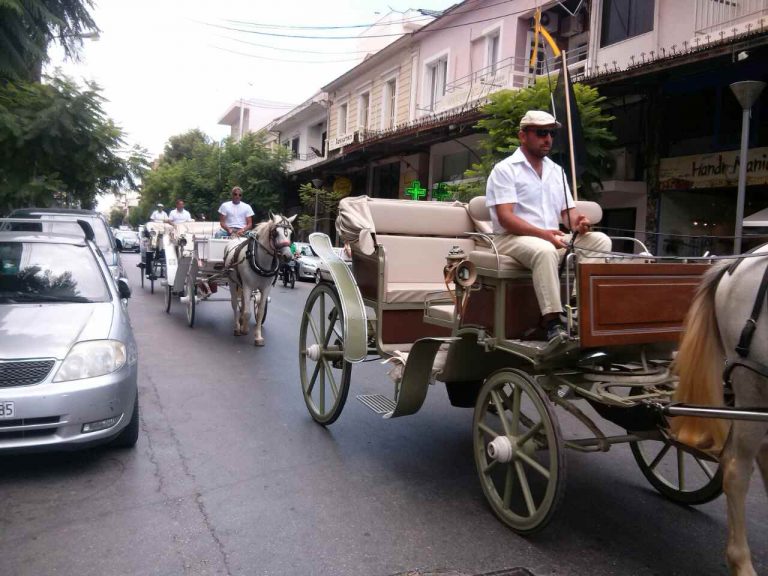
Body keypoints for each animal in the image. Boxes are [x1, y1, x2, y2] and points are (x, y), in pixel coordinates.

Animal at [224, 213, 296, 344]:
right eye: (275, 233)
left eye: (290, 233)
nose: (288, 256)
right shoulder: (248, 286)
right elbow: (248, 312)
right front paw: (245, 329)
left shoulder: (266, 288)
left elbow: (261, 311)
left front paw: (258, 336)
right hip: (232, 282)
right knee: (234, 304)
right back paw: (237, 326)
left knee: (242, 302)